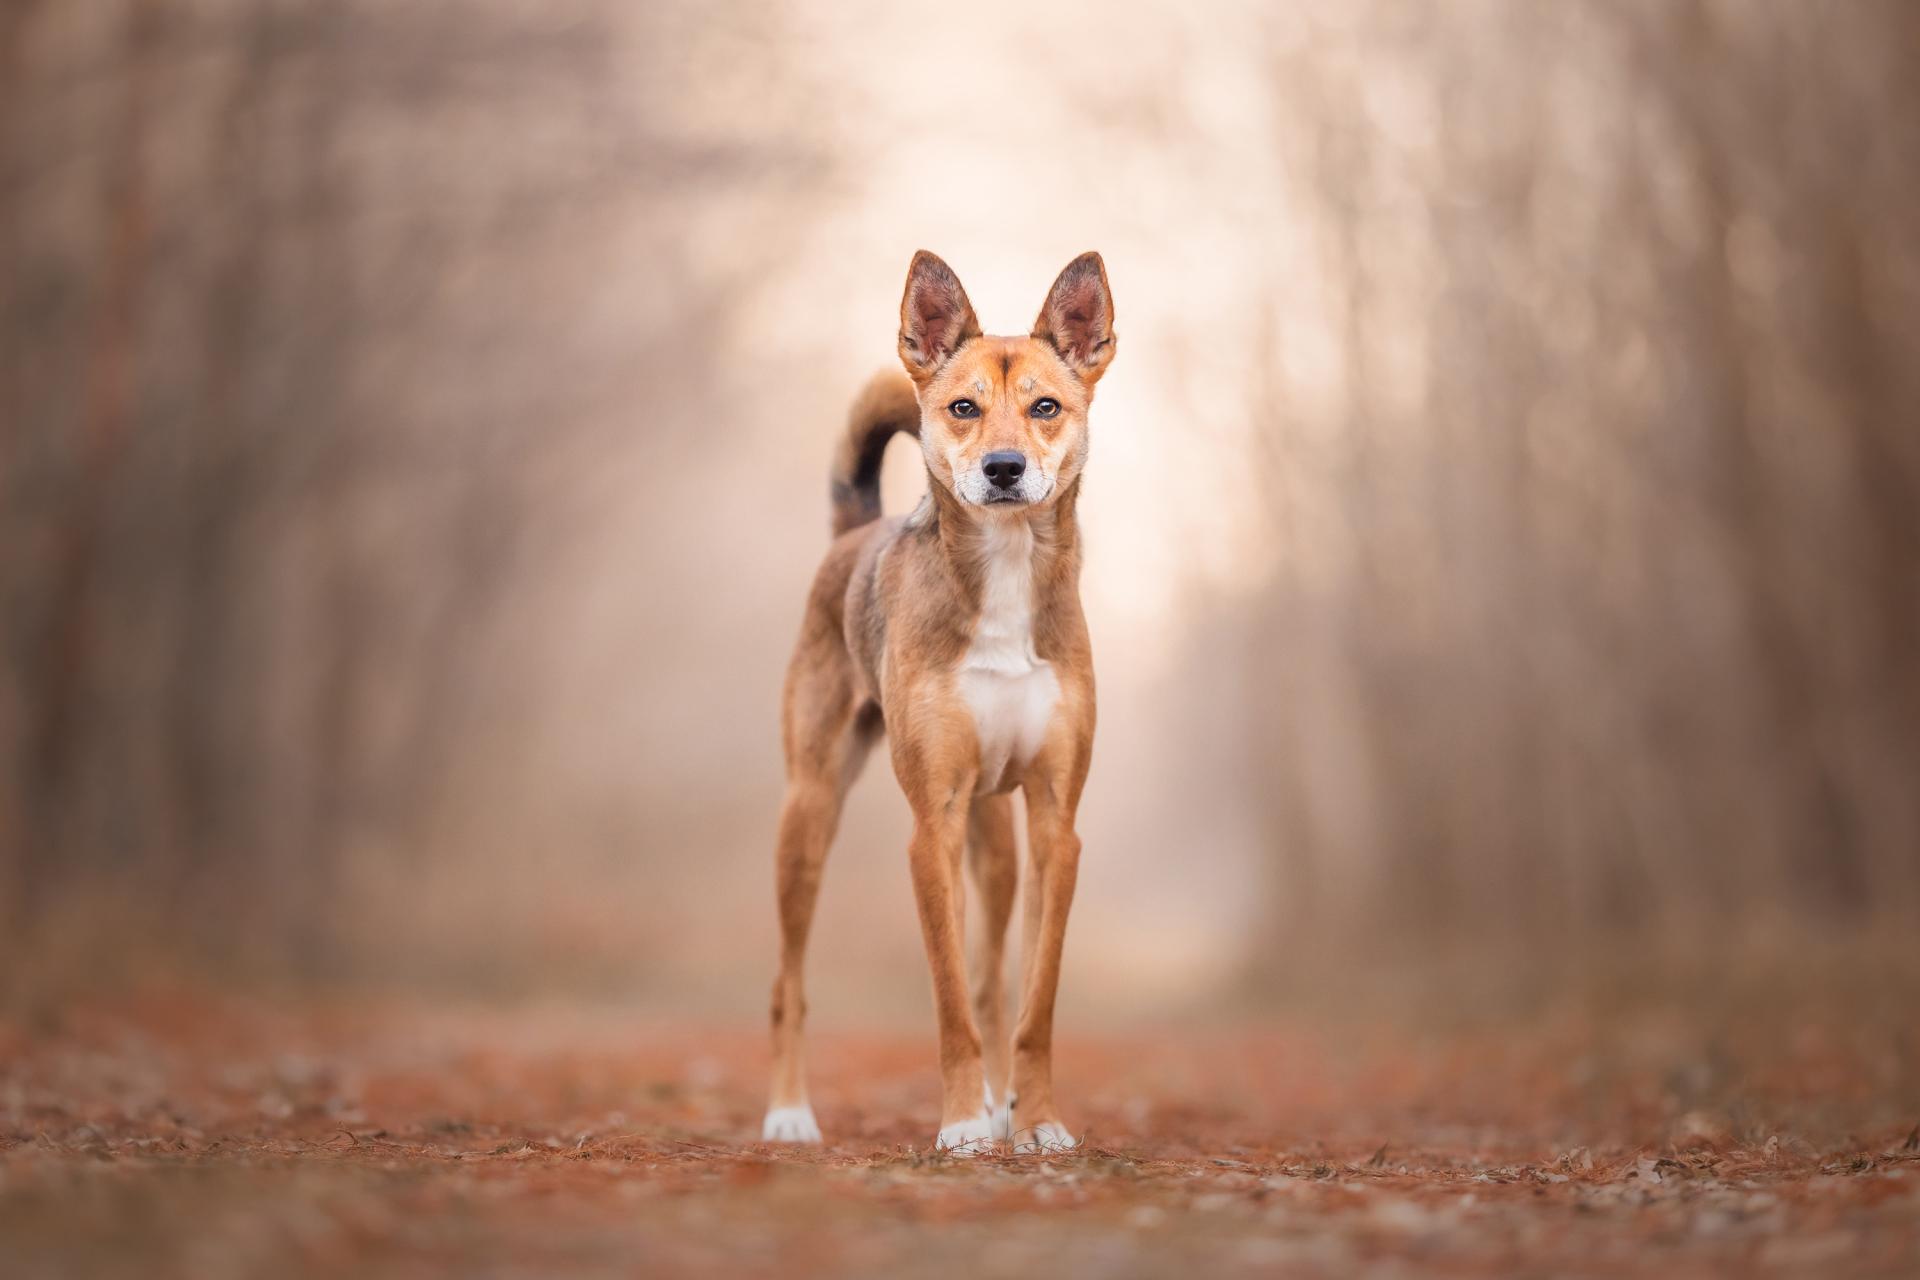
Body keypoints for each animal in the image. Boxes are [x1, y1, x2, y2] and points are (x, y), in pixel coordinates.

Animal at [760, 253, 1113, 1159]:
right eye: (963, 408)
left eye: (1045, 407)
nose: (1003, 468)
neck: (1006, 574)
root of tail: (855, 529)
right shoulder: (933, 825)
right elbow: (950, 999)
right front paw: (959, 1125)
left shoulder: (1056, 825)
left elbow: (1030, 1001)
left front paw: (1037, 1120)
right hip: (810, 814)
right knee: (790, 983)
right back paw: (790, 1114)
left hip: (996, 838)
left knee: (992, 980)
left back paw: (1001, 1104)